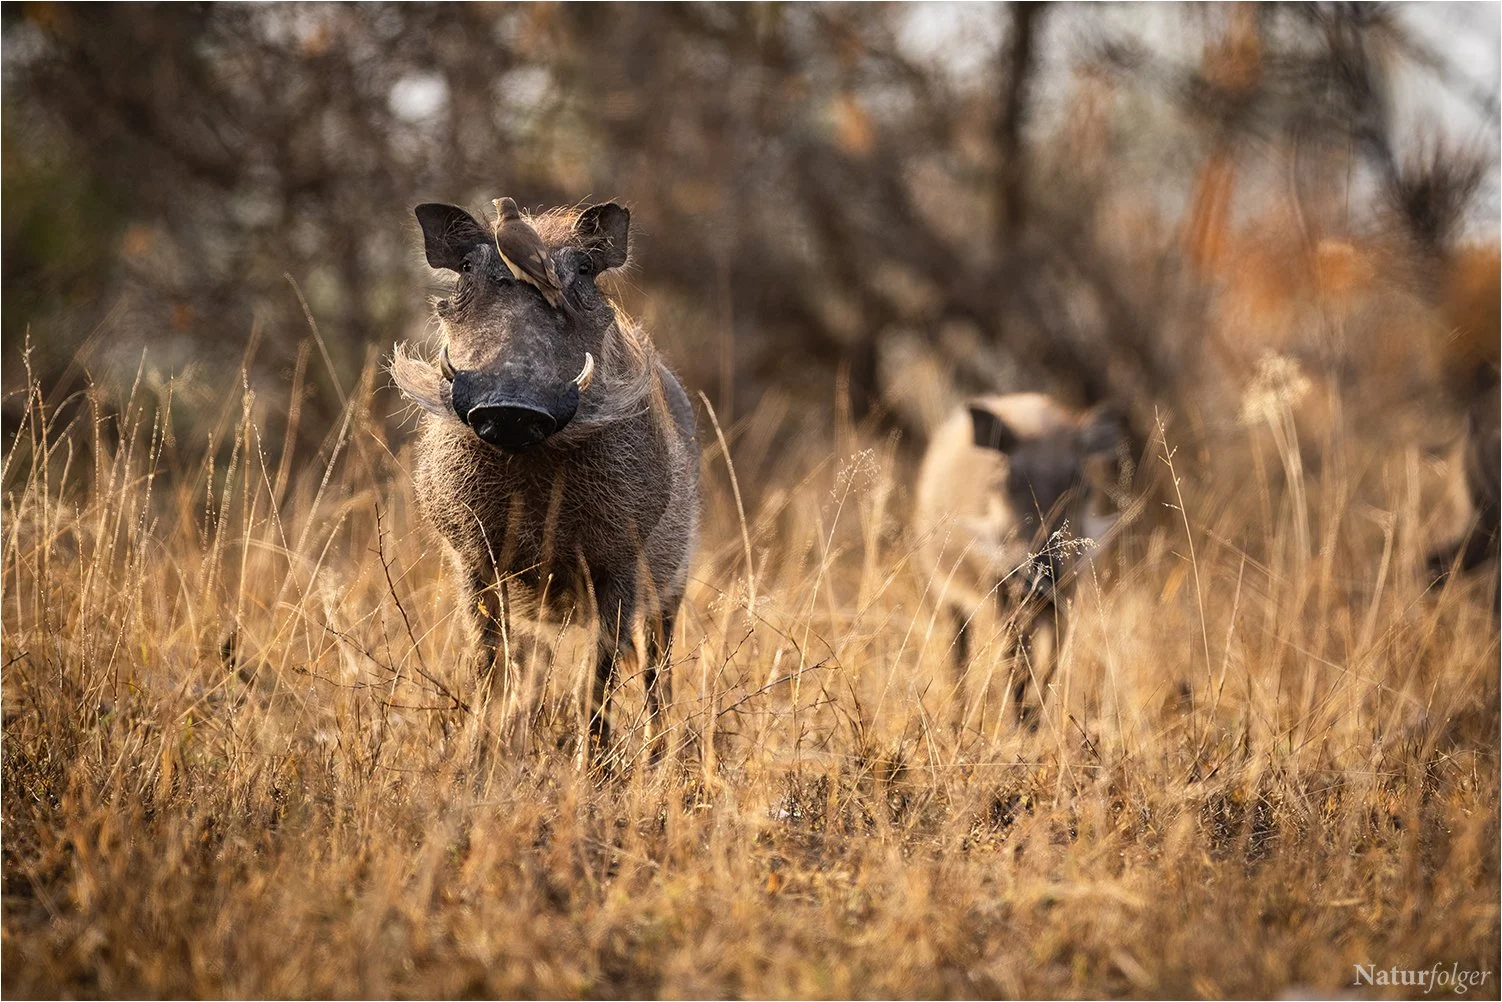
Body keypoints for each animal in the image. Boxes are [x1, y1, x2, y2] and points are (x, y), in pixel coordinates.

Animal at [389, 199, 700, 763]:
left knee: (654, 667)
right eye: (465, 267)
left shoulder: (618, 563)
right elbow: (489, 659)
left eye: (586, 270)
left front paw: (591, 765)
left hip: (670, 587)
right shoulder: (475, 561)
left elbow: (600, 670)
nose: (512, 407)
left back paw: (657, 755)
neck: (532, 469)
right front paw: (481, 756)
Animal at [913, 393, 1134, 722]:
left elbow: (1052, 661)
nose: (1039, 579)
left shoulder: (1067, 595)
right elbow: (1016, 660)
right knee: (959, 653)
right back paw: (959, 717)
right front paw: (1019, 719)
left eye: (1081, 484)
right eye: (1007, 481)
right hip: (945, 592)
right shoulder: (1002, 593)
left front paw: (1033, 718)